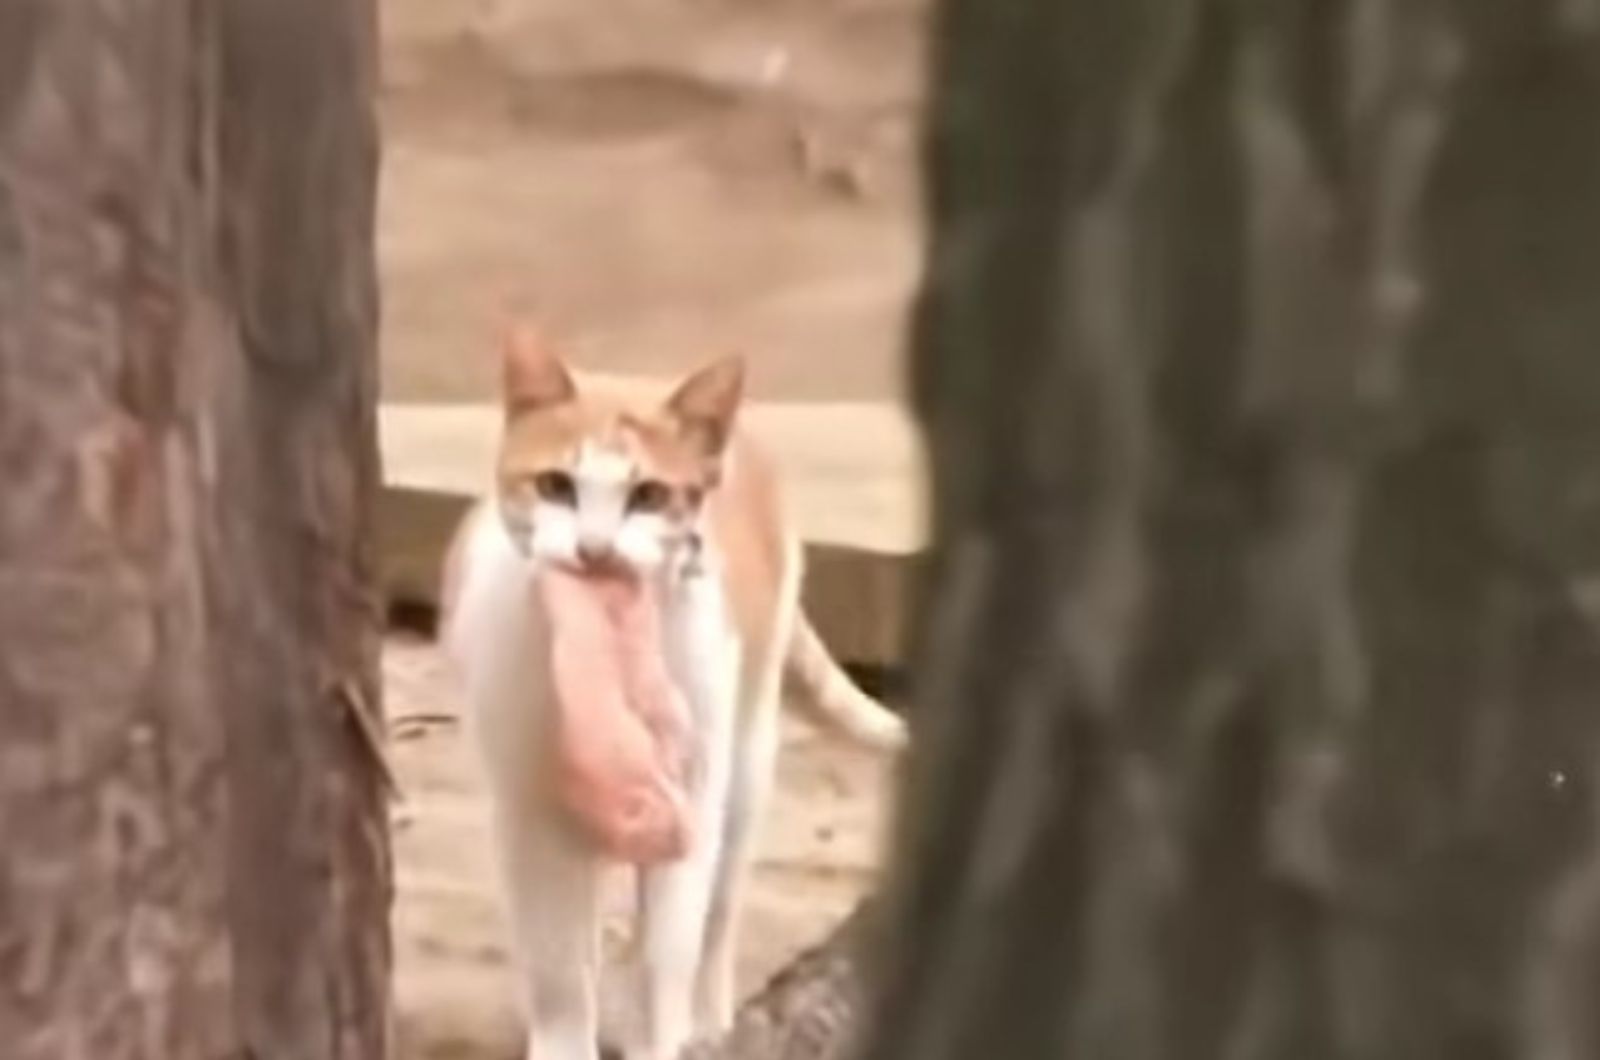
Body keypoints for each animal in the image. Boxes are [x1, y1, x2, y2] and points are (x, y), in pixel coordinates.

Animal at [444, 328, 908, 1060]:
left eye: (649, 495)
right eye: (556, 486)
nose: (595, 548)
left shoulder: (691, 795)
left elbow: (669, 954)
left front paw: (667, 1037)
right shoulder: (527, 810)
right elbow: (558, 970)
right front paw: (563, 1040)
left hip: (744, 770)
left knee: (717, 921)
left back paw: (717, 1023)